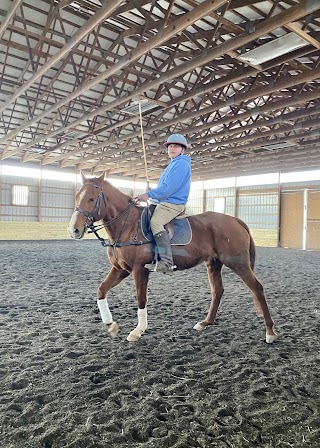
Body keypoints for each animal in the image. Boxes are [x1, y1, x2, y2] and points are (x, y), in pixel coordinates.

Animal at [68, 172, 278, 344]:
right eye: (77, 197)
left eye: (91, 198)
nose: (74, 230)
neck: (128, 226)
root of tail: (235, 219)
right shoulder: (121, 269)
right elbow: (101, 290)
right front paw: (111, 326)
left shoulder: (139, 270)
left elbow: (141, 299)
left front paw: (138, 331)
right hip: (214, 263)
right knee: (218, 290)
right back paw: (205, 322)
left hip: (238, 262)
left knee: (257, 288)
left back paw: (270, 332)